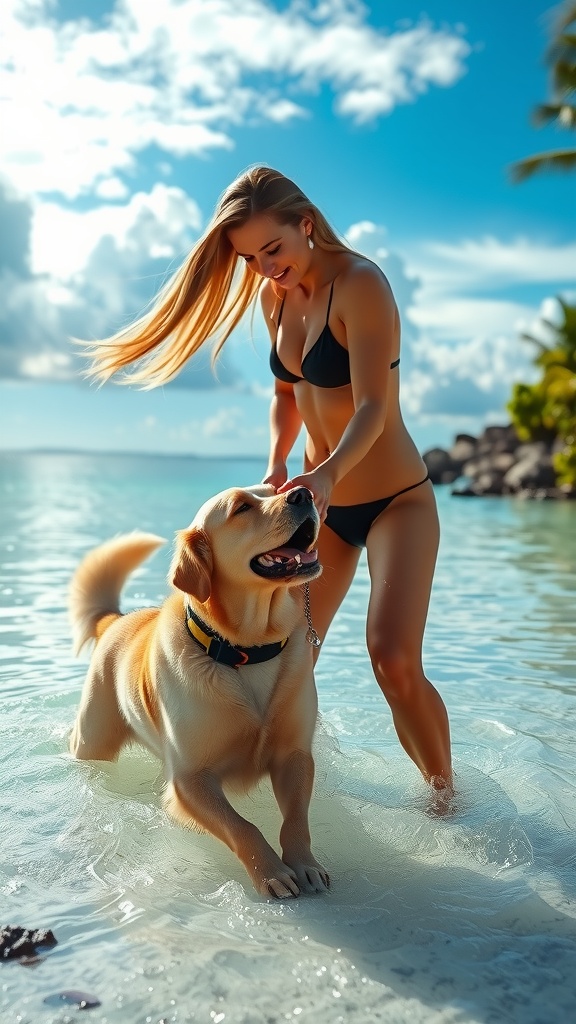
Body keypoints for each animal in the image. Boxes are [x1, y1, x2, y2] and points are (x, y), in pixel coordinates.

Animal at [68, 481, 327, 897]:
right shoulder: (190, 780)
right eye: (241, 508)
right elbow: (242, 826)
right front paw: (271, 872)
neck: (246, 650)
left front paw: (305, 865)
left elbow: (296, 821)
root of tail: (115, 620)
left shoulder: (295, 755)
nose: (304, 493)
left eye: (274, 489)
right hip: (94, 738)